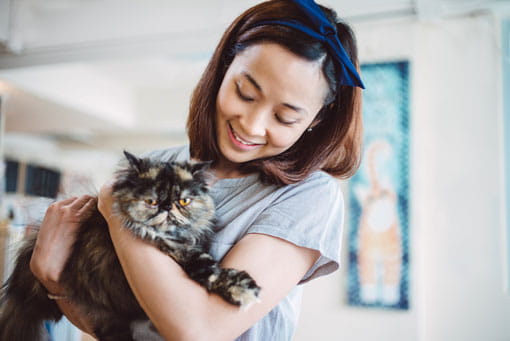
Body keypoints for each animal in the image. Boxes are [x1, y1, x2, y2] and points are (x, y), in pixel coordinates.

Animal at [0, 152, 260, 340]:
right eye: (151, 201)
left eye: (184, 201)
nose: (167, 207)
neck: (174, 238)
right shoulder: (178, 251)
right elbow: (210, 270)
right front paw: (242, 289)